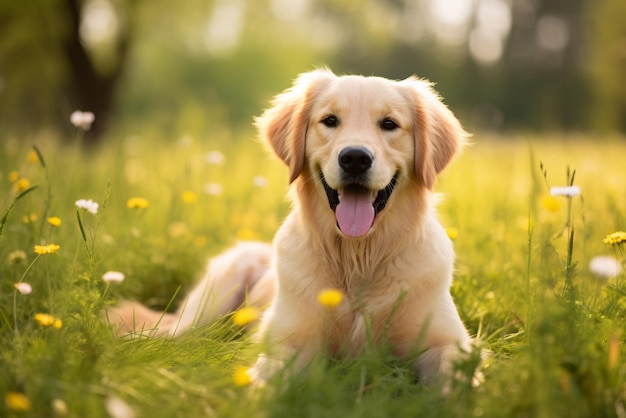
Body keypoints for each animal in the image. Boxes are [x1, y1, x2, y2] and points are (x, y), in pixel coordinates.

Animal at [109, 68, 472, 386]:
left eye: (389, 124)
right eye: (330, 120)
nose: (355, 158)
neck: (359, 258)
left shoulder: (447, 341)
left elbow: (459, 379)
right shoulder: (289, 340)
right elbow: (271, 377)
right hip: (206, 309)